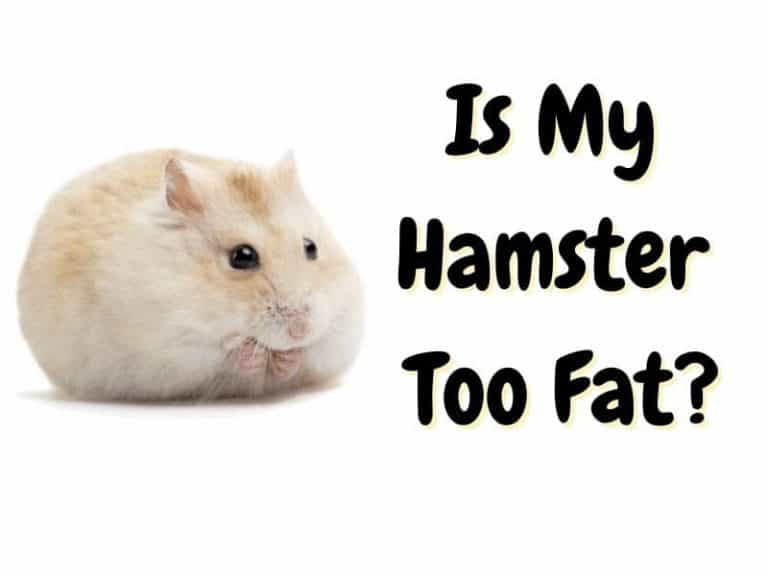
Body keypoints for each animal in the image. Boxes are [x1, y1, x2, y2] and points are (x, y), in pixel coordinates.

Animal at [18, 149, 364, 400]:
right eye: (242, 257)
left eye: (311, 247)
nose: (300, 331)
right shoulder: (173, 343)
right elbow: (227, 352)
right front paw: (255, 354)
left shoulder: (340, 332)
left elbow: (308, 355)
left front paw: (287, 358)